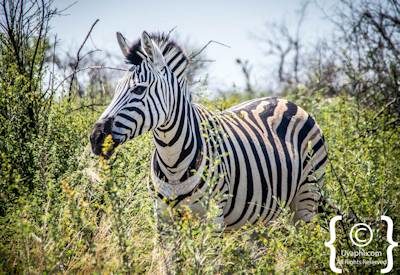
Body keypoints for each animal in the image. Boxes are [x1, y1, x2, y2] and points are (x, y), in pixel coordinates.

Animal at [90, 31, 328, 231]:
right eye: (115, 89)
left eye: (139, 89)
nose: (95, 138)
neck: (171, 160)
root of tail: (284, 100)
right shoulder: (163, 219)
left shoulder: (213, 219)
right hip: (261, 214)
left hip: (307, 196)